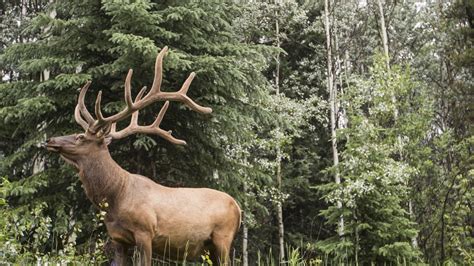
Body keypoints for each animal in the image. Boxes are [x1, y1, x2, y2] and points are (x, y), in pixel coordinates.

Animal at [45, 46, 241, 264]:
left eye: (80, 137)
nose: (50, 140)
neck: (115, 196)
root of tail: (238, 207)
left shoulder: (145, 232)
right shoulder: (118, 238)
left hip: (222, 237)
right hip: (210, 247)